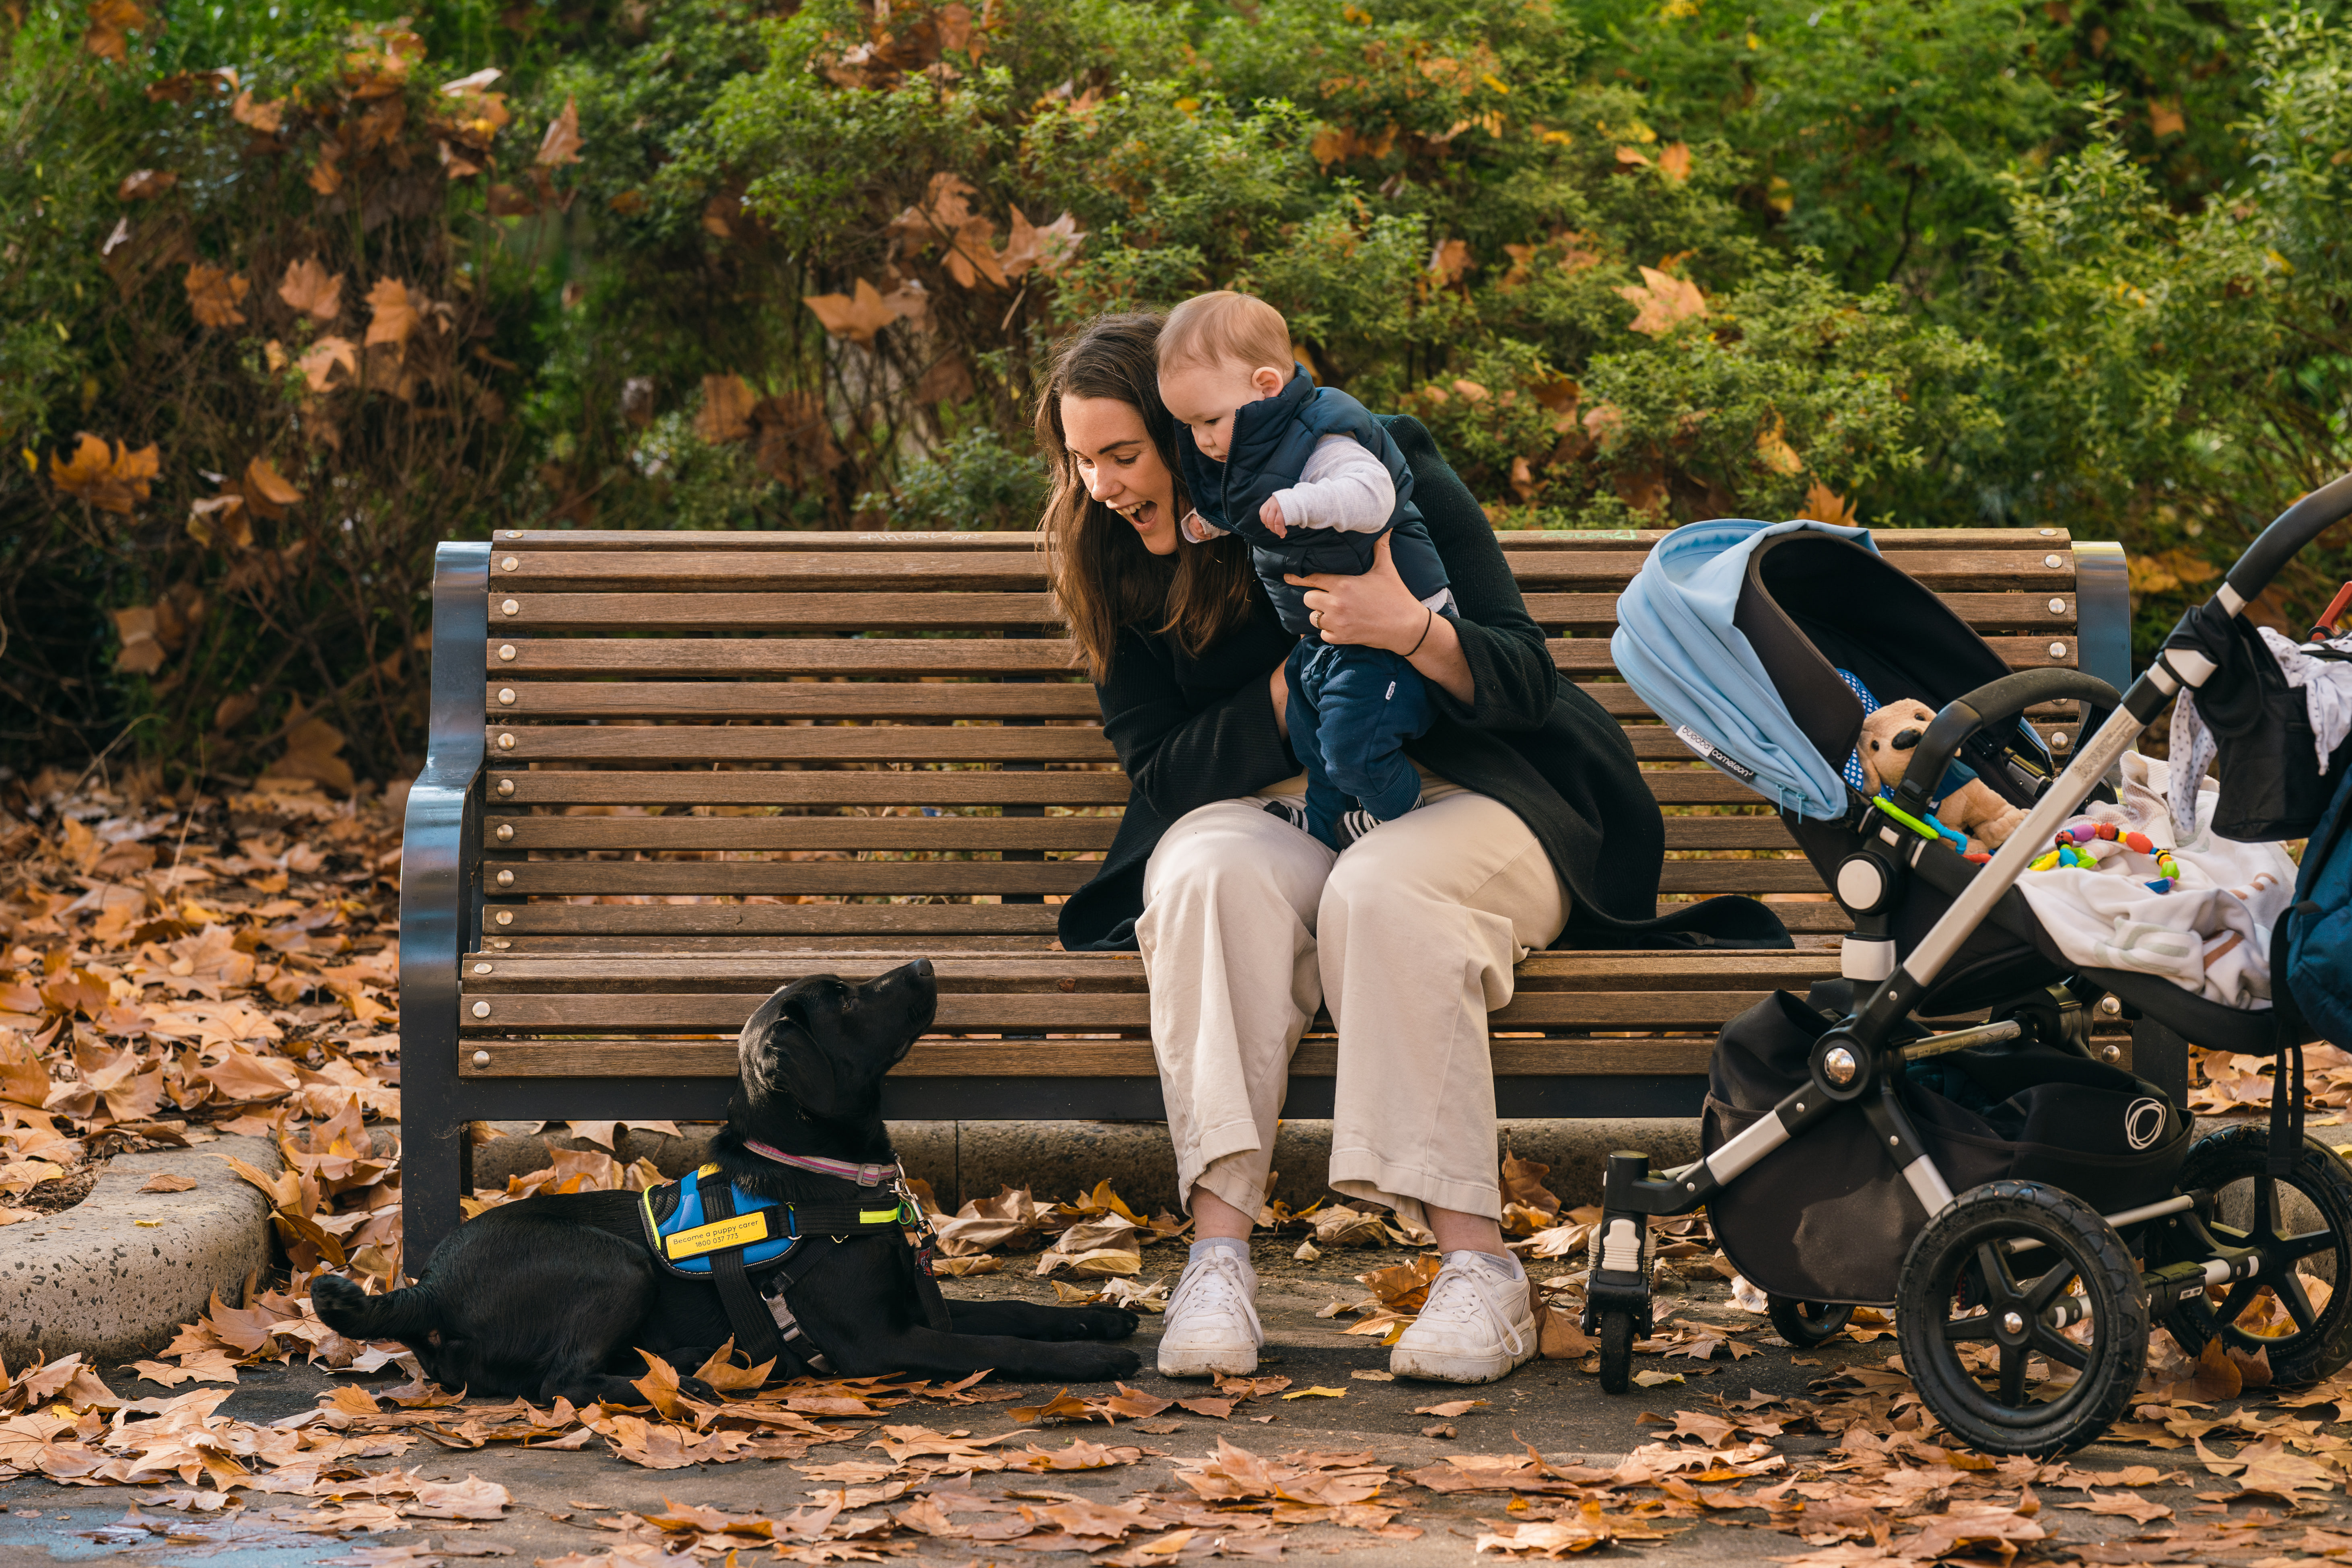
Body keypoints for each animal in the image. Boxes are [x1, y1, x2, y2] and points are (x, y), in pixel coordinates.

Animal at [317, 964, 1143, 1401]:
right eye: (847, 998)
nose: (925, 967)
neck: (820, 1180)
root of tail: (424, 1287)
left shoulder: (914, 1303)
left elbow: (1011, 1310)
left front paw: (1097, 1320)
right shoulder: (876, 1339)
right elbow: (998, 1341)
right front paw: (1091, 1360)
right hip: (614, 1263)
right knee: (563, 1381)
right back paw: (690, 1383)